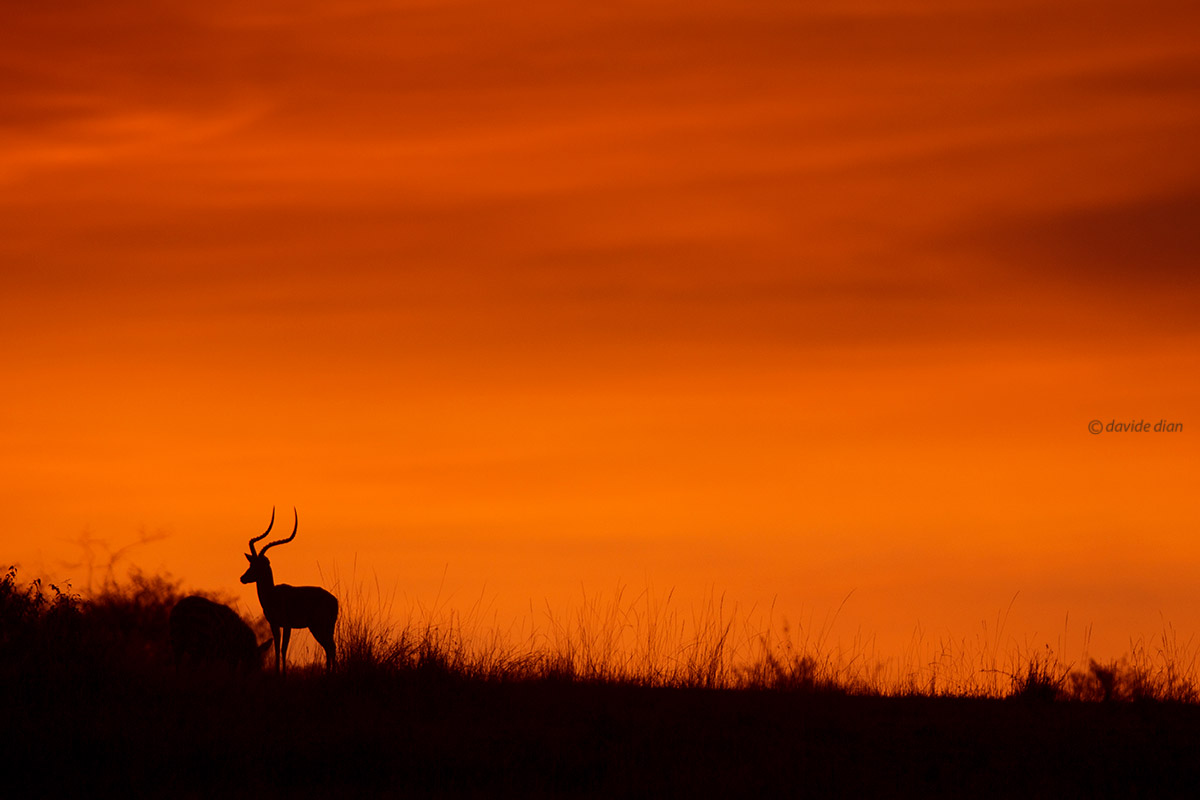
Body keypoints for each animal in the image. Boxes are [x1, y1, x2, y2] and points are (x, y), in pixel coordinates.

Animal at [240, 507, 339, 674]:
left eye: (258, 565)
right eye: (251, 563)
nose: (243, 578)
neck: (272, 594)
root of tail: (335, 601)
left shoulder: (286, 625)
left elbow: (283, 649)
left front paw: (283, 675)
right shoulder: (274, 624)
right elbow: (276, 648)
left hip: (318, 626)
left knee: (330, 647)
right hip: (324, 627)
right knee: (330, 647)